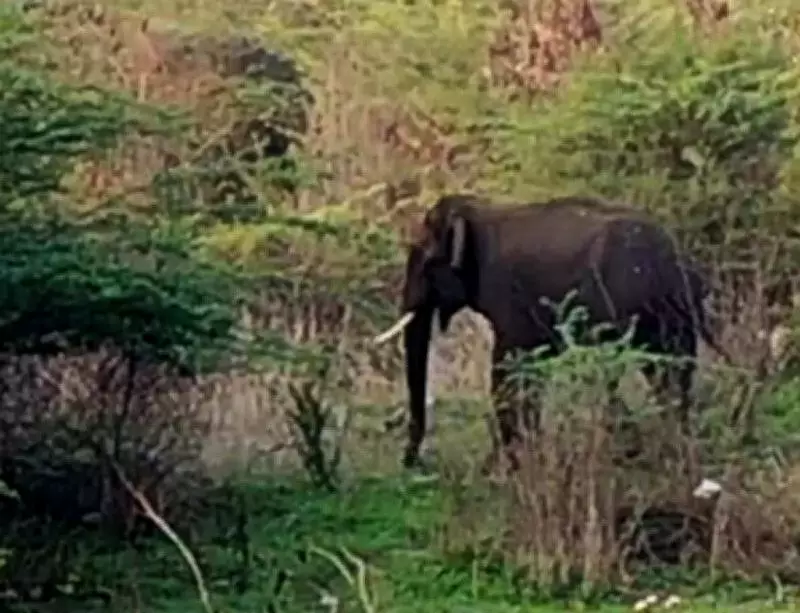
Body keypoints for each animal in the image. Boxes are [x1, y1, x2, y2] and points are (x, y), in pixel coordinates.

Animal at [373, 193, 728, 472]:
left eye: (427, 262)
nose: (411, 463)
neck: (480, 208)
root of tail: (676, 260)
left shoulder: (510, 296)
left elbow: (507, 367)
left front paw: (507, 466)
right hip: (675, 316)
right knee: (671, 373)